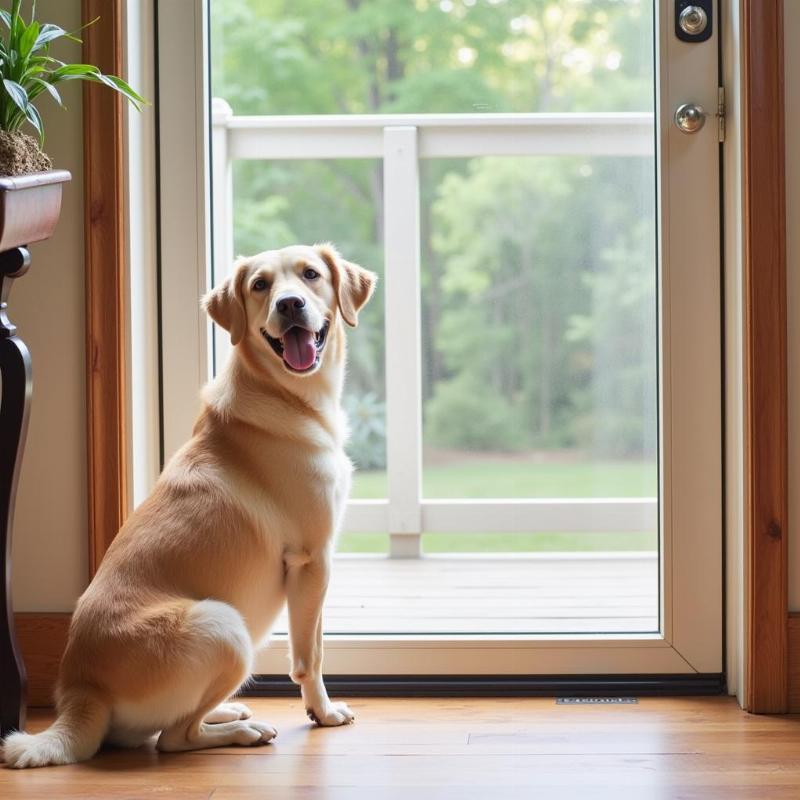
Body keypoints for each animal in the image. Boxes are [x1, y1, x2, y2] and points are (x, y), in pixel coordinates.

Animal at [1, 244, 376, 768]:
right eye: (260, 285)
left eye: (310, 275)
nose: (290, 304)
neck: (286, 396)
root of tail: (82, 690)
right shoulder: (312, 561)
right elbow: (310, 657)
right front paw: (322, 713)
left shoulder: (316, 565)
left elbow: (315, 646)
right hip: (226, 627)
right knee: (174, 738)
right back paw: (243, 731)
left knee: (174, 726)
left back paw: (228, 712)